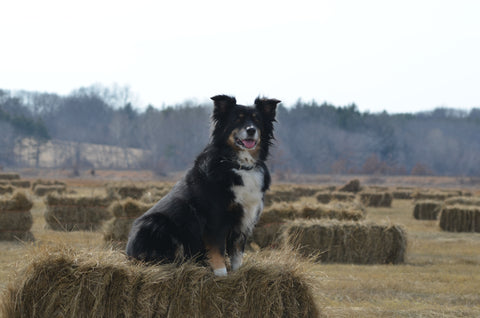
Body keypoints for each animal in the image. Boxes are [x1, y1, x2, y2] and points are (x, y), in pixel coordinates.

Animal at [125, 94, 280, 276]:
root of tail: (128, 250)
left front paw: (237, 274)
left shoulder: (244, 221)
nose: (251, 130)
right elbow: (217, 252)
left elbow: (237, 255)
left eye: (257, 120)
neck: (238, 165)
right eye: (237, 119)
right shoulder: (216, 220)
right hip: (157, 224)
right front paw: (221, 275)